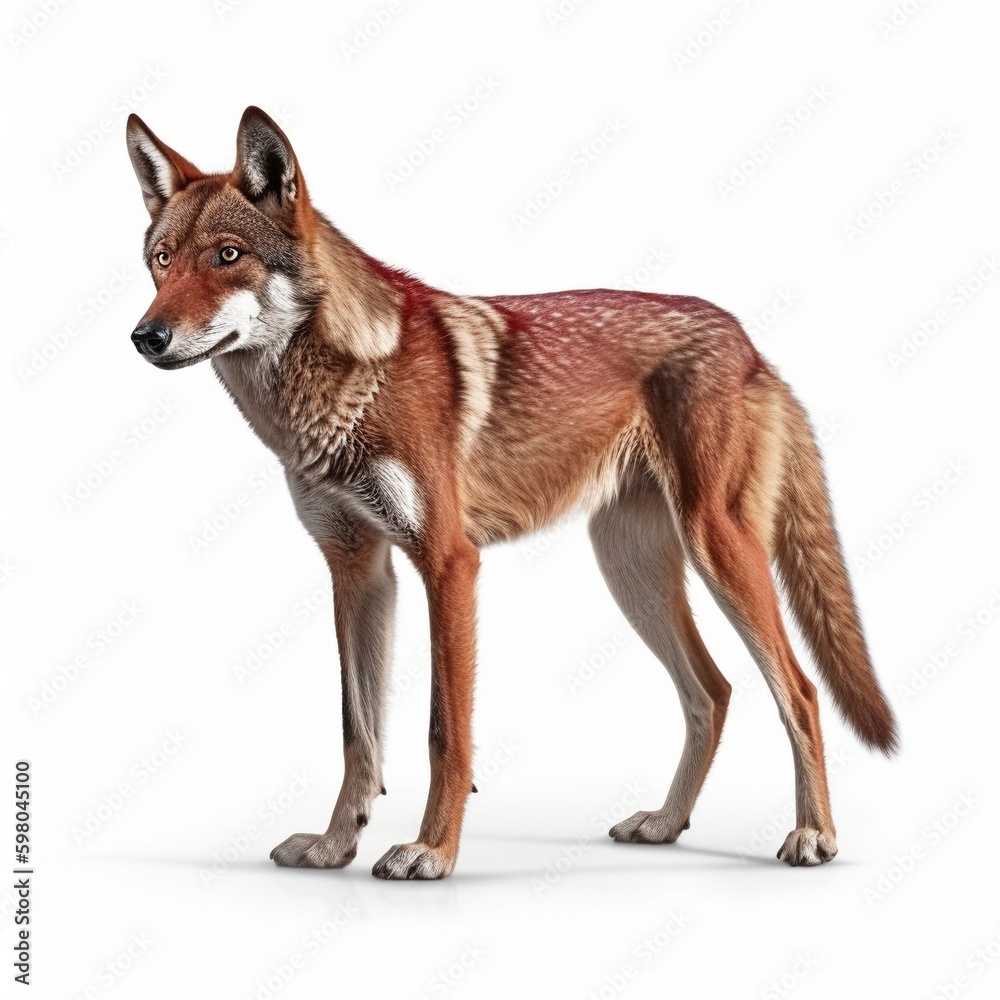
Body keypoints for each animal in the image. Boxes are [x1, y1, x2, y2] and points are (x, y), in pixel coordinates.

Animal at [126, 107, 897, 879]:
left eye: (227, 256)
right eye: (161, 261)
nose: (145, 336)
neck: (341, 386)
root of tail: (748, 343)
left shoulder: (449, 563)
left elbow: (444, 732)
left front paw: (431, 850)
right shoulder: (358, 569)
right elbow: (357, 732)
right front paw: (335, 845)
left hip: (718, 554)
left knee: (798, 690)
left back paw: (813, 835)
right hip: (632, 572)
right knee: (713, 691)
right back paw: (665, 822)